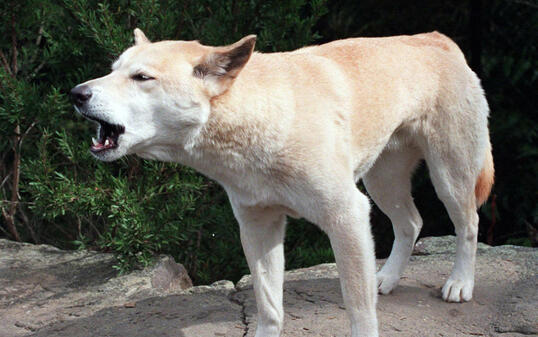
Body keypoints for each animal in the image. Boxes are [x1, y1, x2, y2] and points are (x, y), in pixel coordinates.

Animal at [72, 29, 494, 336]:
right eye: (113, 69)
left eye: (142, 77)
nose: (76, 93)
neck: (261, 115)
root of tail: (437, 38)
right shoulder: (258, 227)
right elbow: (270, 306)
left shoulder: (346, 216)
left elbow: (358, 310)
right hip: (383, 181)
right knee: (411, 223)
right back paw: (386, 278)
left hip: (449, 176)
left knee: (468, 225)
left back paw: (459, 283)